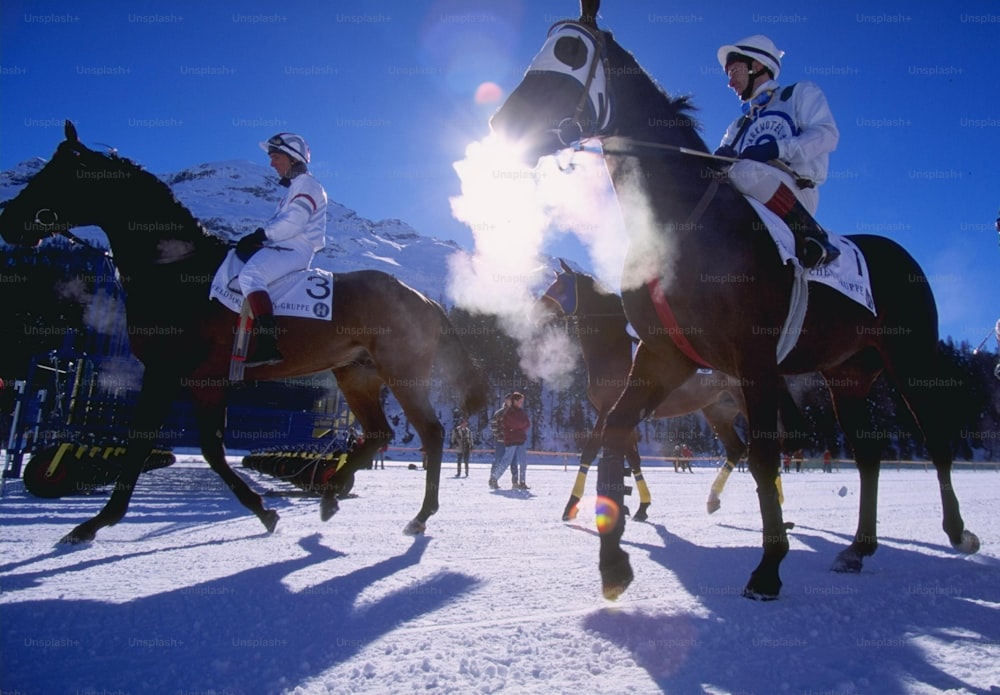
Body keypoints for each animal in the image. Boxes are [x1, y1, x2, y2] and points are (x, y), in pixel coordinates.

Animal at [0, 121, 492, 544]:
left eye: (58, 175)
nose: (8, 217)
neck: (179, 270)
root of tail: (424, 299)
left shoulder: (168, 373)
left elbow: (151, 444)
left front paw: (95, 523)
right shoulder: (202, 381)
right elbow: (210, 449)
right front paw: (263, 509)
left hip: (400, 374)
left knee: (431, 432)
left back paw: (420, 515)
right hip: (355, 374)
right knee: (377, 434)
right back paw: (332, 494)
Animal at [540, 262, 752, 520]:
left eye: (560, 287)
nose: (537, 308)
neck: (614, 346)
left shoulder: (607, 409)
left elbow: (590, 452)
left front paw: (572, 504)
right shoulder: (621, 414)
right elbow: (633, 459)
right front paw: (642, 505)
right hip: (717, 410)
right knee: (736, 448)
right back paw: (713, 499)